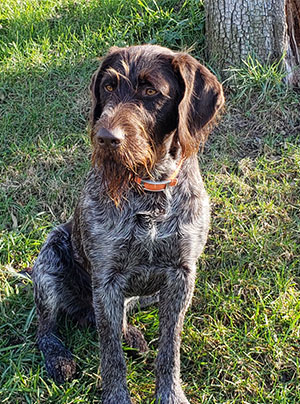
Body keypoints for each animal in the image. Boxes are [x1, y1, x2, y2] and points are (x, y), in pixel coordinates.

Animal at [32, 42, 225, 402]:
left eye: (150, 91)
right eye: (108, 87)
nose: (106, 138)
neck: (150, 188)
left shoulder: (181, 277)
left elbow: (169, 349)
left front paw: (170, 393)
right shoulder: (106, 279)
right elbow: (111, 356)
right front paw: (117, 395)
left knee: (119, 317)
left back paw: (132, 337)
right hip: (49, 262)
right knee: (45, 329)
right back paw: (59, 356)